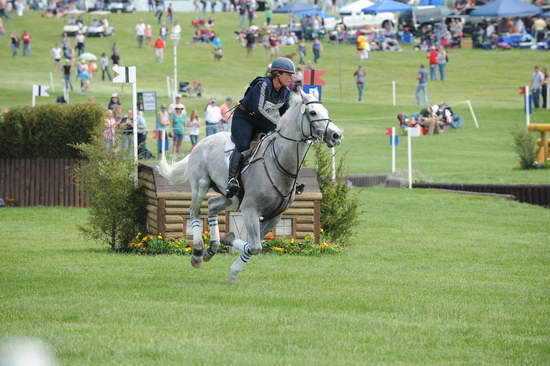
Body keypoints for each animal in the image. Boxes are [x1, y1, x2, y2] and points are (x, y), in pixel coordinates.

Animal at [157, 90, 342, 282]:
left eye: (325, 111)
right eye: (313, 113)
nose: (336, 135)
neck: (280, 164)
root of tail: (201, 142)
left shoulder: (274, 216)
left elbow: (253, 244)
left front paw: (231, 260)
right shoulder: (250, 209)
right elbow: (255, 246)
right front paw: (230, 249)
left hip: (232, 197)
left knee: (212, 205)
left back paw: (212, 247)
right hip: (201, 185)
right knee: (194, 212)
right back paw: (198, 253)